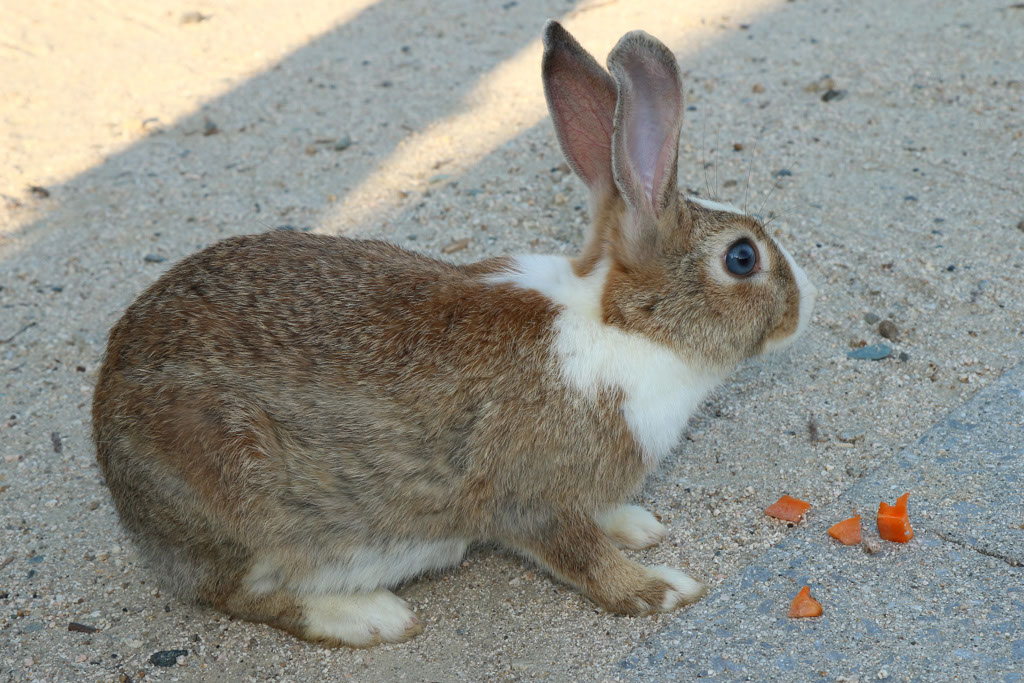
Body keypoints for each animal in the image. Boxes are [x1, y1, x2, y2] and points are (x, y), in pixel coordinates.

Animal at [91, 21, 816, 648]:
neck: (625, 322)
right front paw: (661, 588)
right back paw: (368, 616)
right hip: (246, 507)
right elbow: (583, 558)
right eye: (743, 258)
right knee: (242, 593)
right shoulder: (533, 500)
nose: (804, 305)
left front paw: (637, 523)